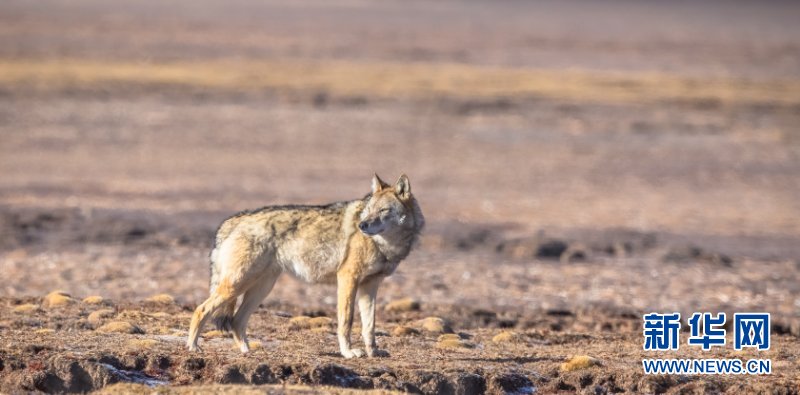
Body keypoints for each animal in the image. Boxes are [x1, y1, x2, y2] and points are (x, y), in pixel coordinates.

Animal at [188, 174, 424, 358]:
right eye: (368, 211)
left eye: (383, 210)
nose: (362, 225)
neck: (386, 245)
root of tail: (232, 220)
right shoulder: (347, 278)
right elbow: (346, 321)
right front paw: (348, 352)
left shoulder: (371, 286)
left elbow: (369, 326)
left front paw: (373, 352)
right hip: (238, 285)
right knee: (201, 309)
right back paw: (193, 347)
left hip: (261, 288)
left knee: (237, 321)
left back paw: (247, 352)